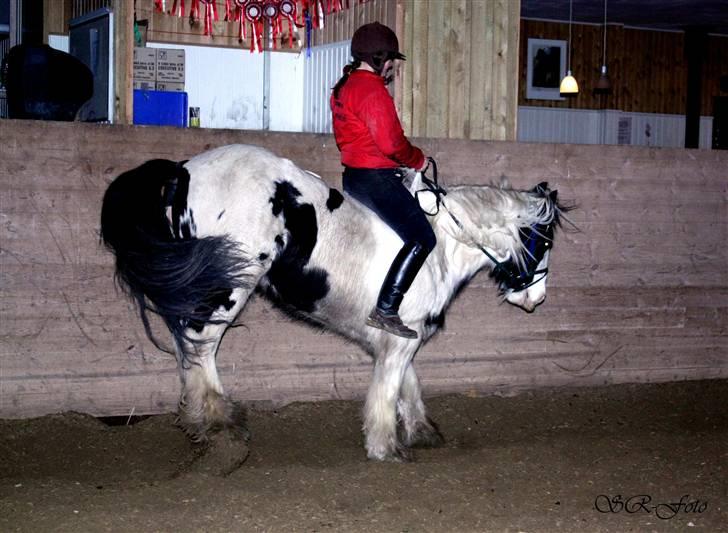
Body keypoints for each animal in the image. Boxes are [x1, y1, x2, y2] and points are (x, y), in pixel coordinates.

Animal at [101, 144, 568, 462]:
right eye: (543, 242)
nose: (537, 297)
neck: (443, 246)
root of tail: (183, 170)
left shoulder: (400, 334)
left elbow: (407, 383)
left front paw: (420, 431)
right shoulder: (401, 338)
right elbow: (388, 388)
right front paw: (385, 447)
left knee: (187, 346)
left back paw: (200, 420)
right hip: (228, 287)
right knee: (201, 346)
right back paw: (220, 424)